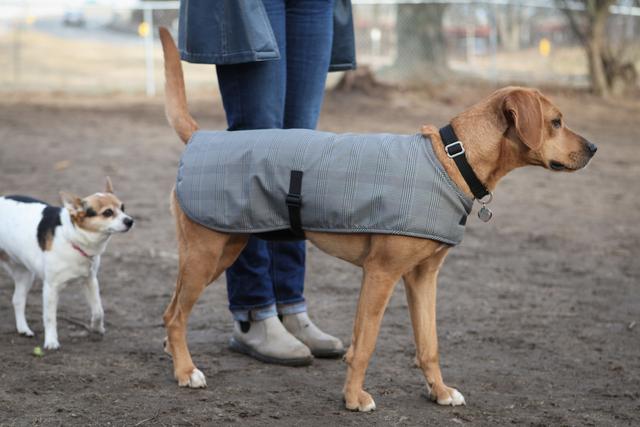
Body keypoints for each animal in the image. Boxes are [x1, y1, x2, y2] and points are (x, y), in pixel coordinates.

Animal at [0, 179, 132, 350]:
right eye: (107, 212)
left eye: (123, 208)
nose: (130, 221)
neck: (72, 238)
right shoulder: (50, 288)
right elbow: (50, 318)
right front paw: (51, 341)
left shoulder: (90, 280)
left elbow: (98, 311)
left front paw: (97, 328)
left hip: (24, 274)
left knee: (17, 299)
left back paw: (23, 329)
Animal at [159, 28, 596, 412]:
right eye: (556, 122)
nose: (593, 148)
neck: (452, 159)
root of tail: (198, 136)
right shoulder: (381, 273)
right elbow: (365, 344)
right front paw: (354, 398)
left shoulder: (423, 277)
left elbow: (429, 344)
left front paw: (439, 393)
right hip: (206, 254)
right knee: (177, 316)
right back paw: (186, 371)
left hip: (222, 249)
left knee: (169, 313)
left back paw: (173, 357)